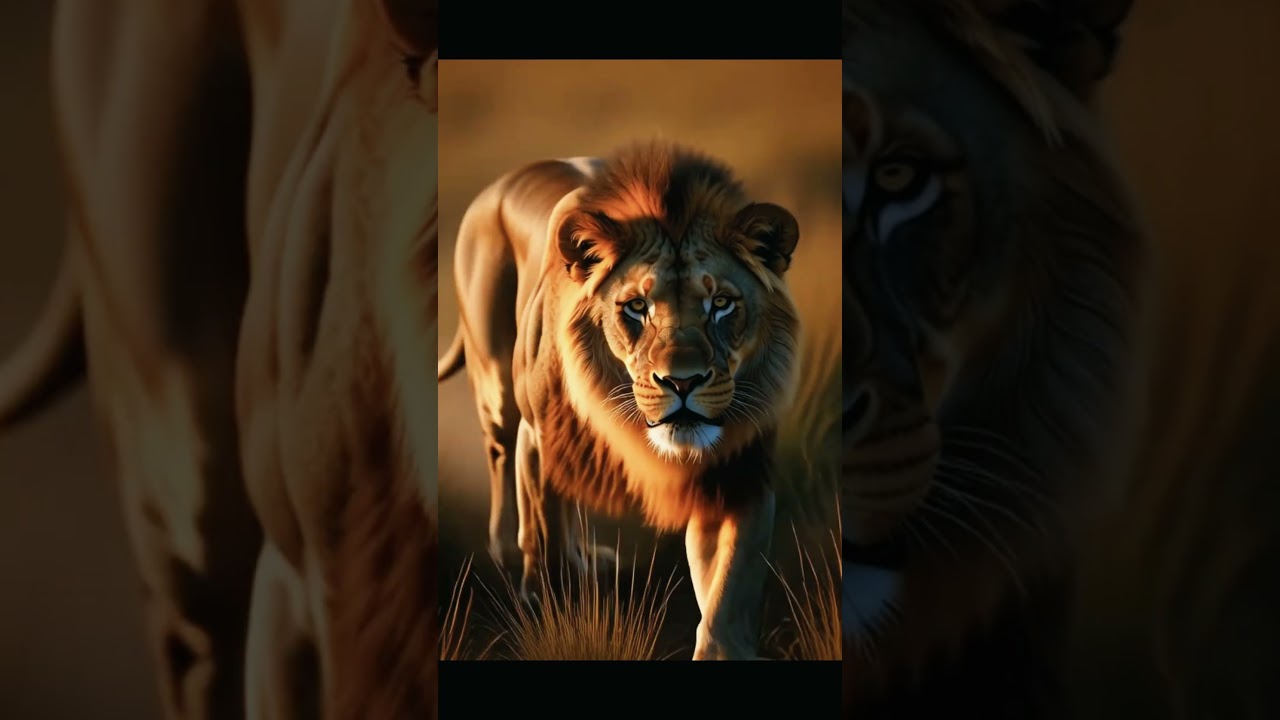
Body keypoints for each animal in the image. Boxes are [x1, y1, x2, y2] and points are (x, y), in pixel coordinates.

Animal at [437, 141, 802, 660]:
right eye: (636, 306)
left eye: (721, 304)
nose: (683, 382)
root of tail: (499, 185)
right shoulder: (546, 442)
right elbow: (551, 549)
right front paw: (559, 618)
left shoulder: (739, 471)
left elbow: (729, 589)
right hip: (497, 387)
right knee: (505, 456)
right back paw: (511, 556)